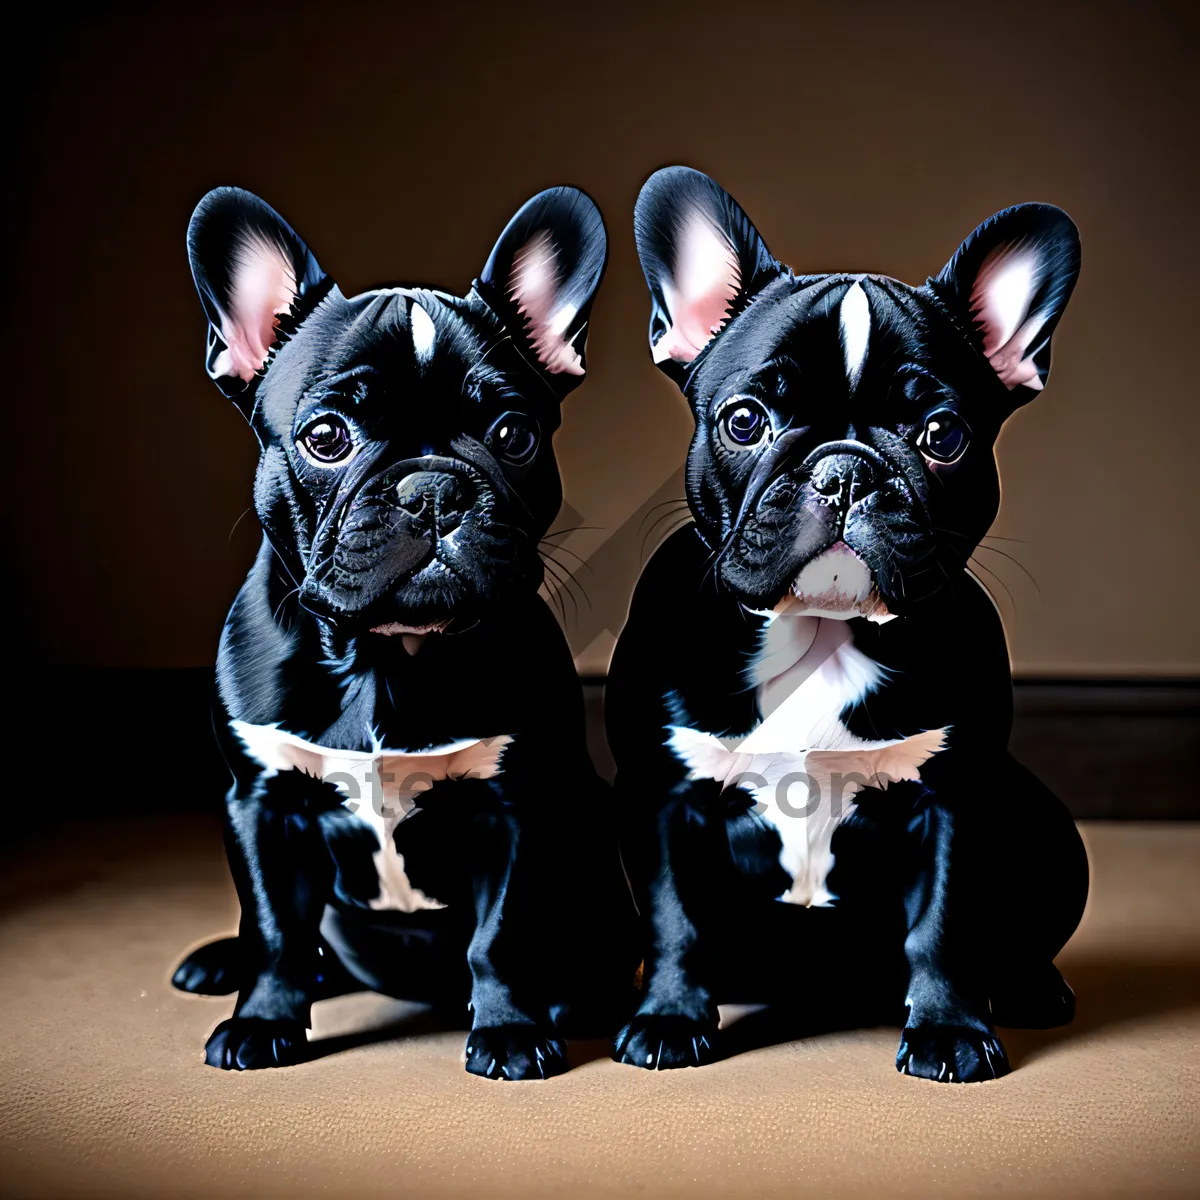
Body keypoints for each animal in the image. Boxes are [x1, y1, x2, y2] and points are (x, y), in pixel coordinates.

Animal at [174, 184, 638, 1080]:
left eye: (513, 435)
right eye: (326, 437)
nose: (432, 490)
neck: (385, 656)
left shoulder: (516, 809)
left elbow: (500, 935)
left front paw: (511, 1031)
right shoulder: (260, 803)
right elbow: (278, 930)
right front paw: (262, 1020)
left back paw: (576, 997)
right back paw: (223, 961)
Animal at [609, 166, 1089, 1080]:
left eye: (942, 434)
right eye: (745, 421)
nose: (843, 470)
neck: (824, 630)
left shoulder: (953, 802)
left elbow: (943, 925)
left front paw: (949, 1030)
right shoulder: (664, 800)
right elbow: (672, 915)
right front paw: (668, 1019)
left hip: (1049, 829)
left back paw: (1030, 989)